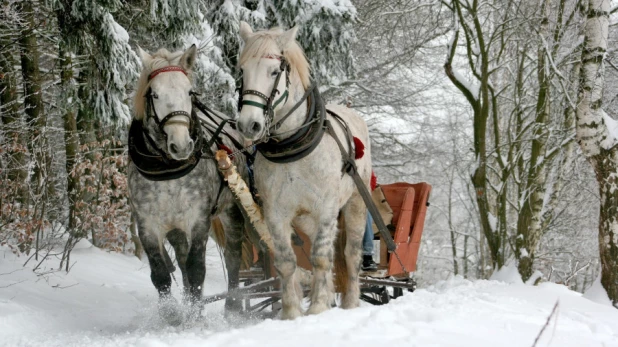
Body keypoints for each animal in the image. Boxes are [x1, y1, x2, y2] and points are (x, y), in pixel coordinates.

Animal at [236, 22, 370, 320]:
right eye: (242, 71)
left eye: (274, 71)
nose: (249, 125)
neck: (293, 145)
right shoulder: (275, 212)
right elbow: (287, 261)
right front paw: (291, 312)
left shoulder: (327, 208)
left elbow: (321, 257)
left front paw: (318, 306)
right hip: (306, 218)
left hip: (355, 203)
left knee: (350, 253)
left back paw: (350, 302)